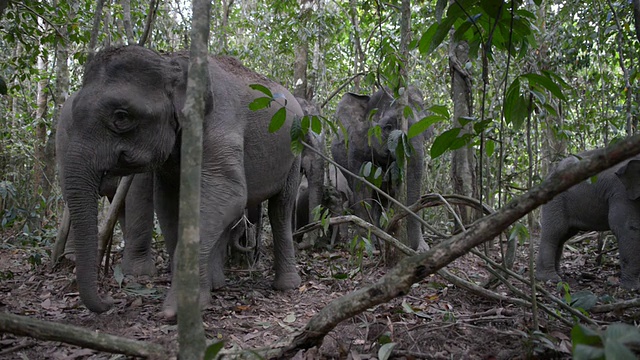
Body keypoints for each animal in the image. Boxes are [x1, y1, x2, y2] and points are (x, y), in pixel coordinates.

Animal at [330, 86, 430, 252]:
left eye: (422, 129)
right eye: (388, 127)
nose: (420, 249)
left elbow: (392, 192)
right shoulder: (356, 146)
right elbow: (361, 188)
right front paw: (363, 246)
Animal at [536, 151, 640, 290]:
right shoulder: (621, 192)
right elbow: (627, 228)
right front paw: (632, 288)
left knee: (562, 236)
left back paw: (559, 275)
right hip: (555, 200)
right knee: (554, 233)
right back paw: (550, 279)